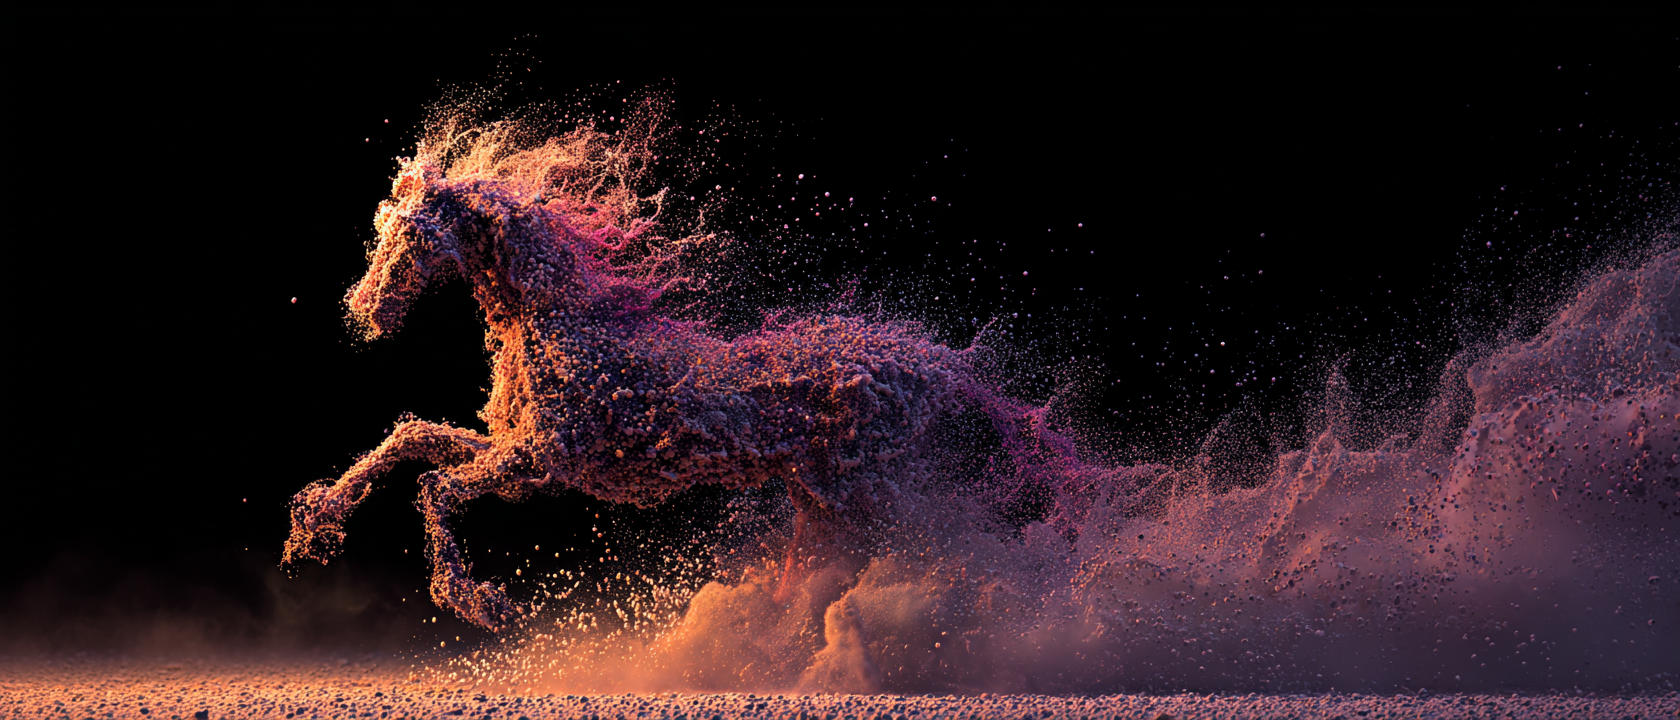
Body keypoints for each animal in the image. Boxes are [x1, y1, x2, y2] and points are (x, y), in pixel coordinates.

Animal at [280, 137, 988, 630]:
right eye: (381, 227)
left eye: (412, 235)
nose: (365, 309)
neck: (555, 320)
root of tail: (929, 365)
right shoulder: (519, 456)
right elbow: (412, 439)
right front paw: (316, 517)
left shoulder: (537, 461)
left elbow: (435, 485)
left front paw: (479, 603)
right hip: (819, 497)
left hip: (864, 492)